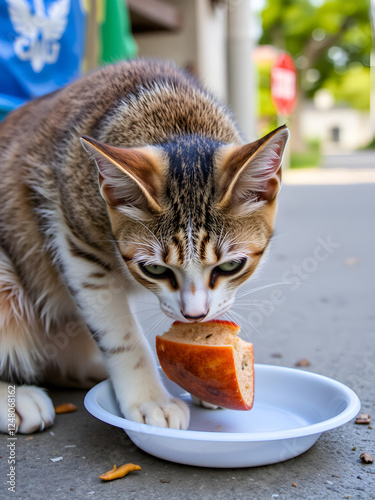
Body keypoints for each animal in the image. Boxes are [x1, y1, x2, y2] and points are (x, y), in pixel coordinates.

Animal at [0, 60, 290, 432]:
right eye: (154, 269)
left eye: (229, 266)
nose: (194, 315)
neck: (175, 118)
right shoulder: (74, 238)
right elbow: (121, 336)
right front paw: (150, 399)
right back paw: (17, 398)